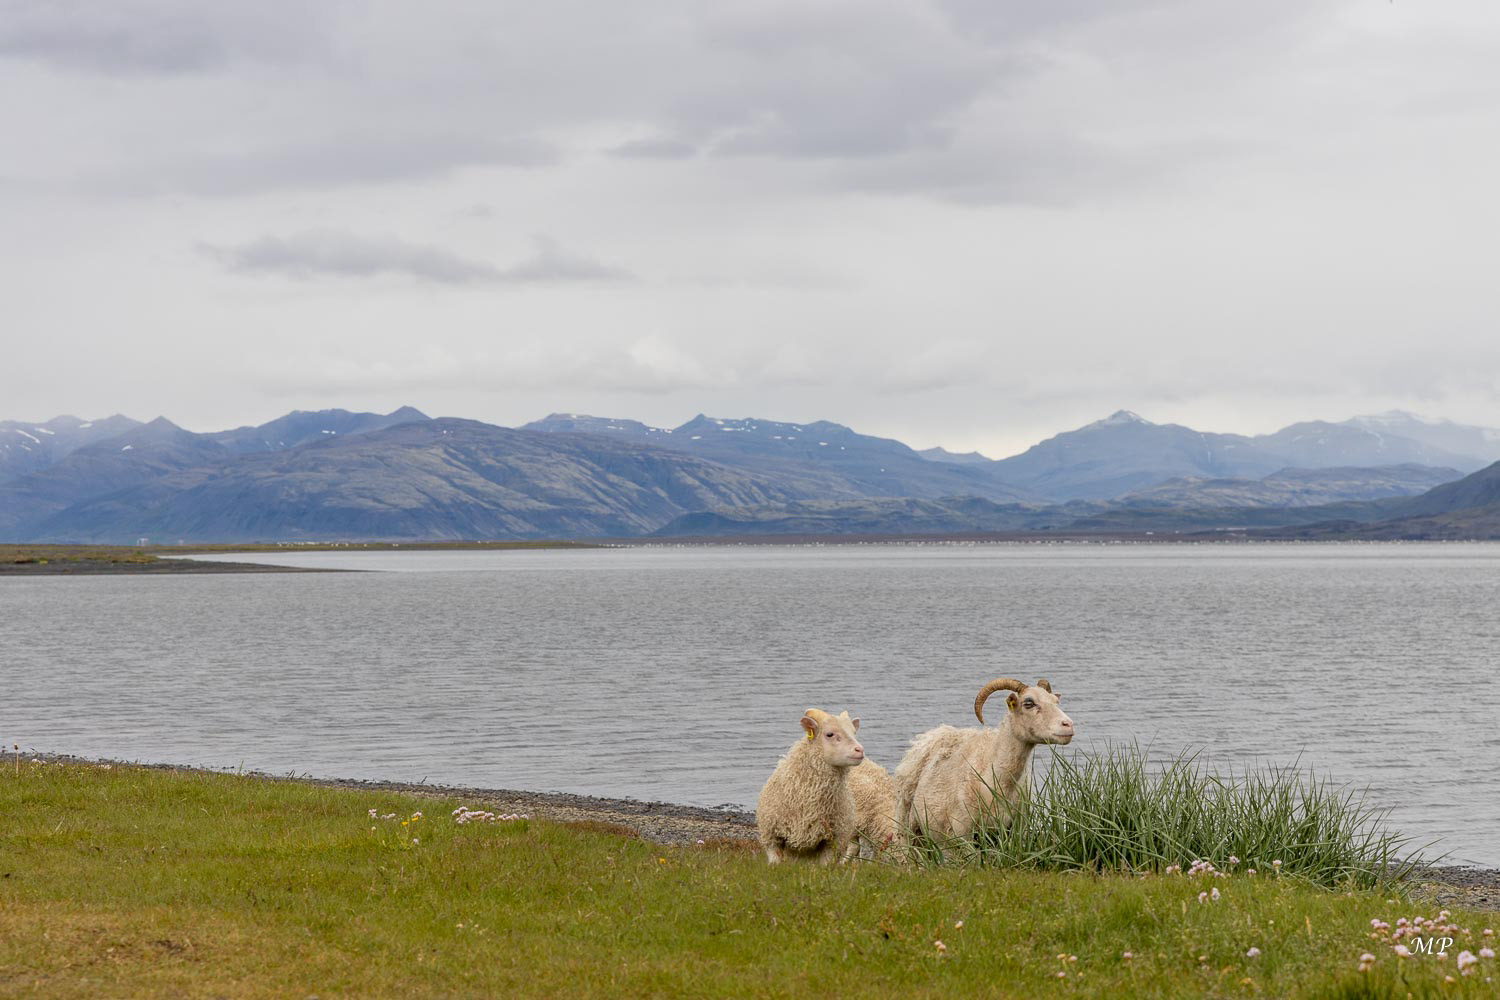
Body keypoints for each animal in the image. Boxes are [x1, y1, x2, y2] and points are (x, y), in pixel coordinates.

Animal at [894, 677, 1073, 842]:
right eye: (1028, 703)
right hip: (908, 830)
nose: (1068, 724)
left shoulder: (1014, 831)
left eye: (1055, 701)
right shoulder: (960, 833)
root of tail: (931, 734)